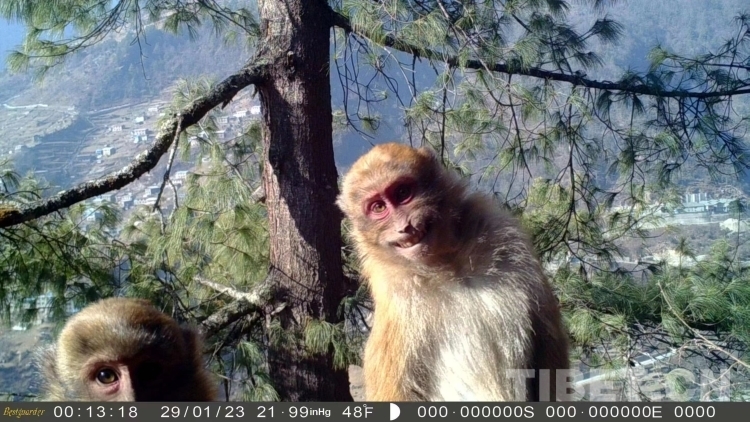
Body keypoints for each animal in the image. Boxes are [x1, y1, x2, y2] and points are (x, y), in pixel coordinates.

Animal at [337, 142, 569, 402]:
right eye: (378, 207)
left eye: (402, 193)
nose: (404, 227)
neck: (447, 266)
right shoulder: (398, 306)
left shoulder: (504, 235)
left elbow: (547, 344)